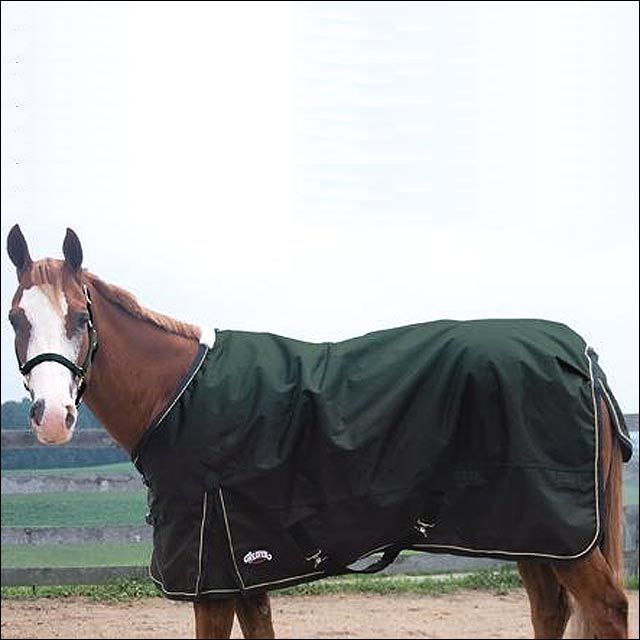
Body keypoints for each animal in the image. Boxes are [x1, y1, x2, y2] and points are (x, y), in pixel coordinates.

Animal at [5, 224, 630, 639]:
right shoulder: (242, 567)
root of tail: (583, 357)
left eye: (80, 317)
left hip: (561, 533)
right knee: (550, 608)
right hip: (533, 531)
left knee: (607, 608)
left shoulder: (211, 575)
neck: (176, 395)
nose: (53, 418)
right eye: (16, 318)